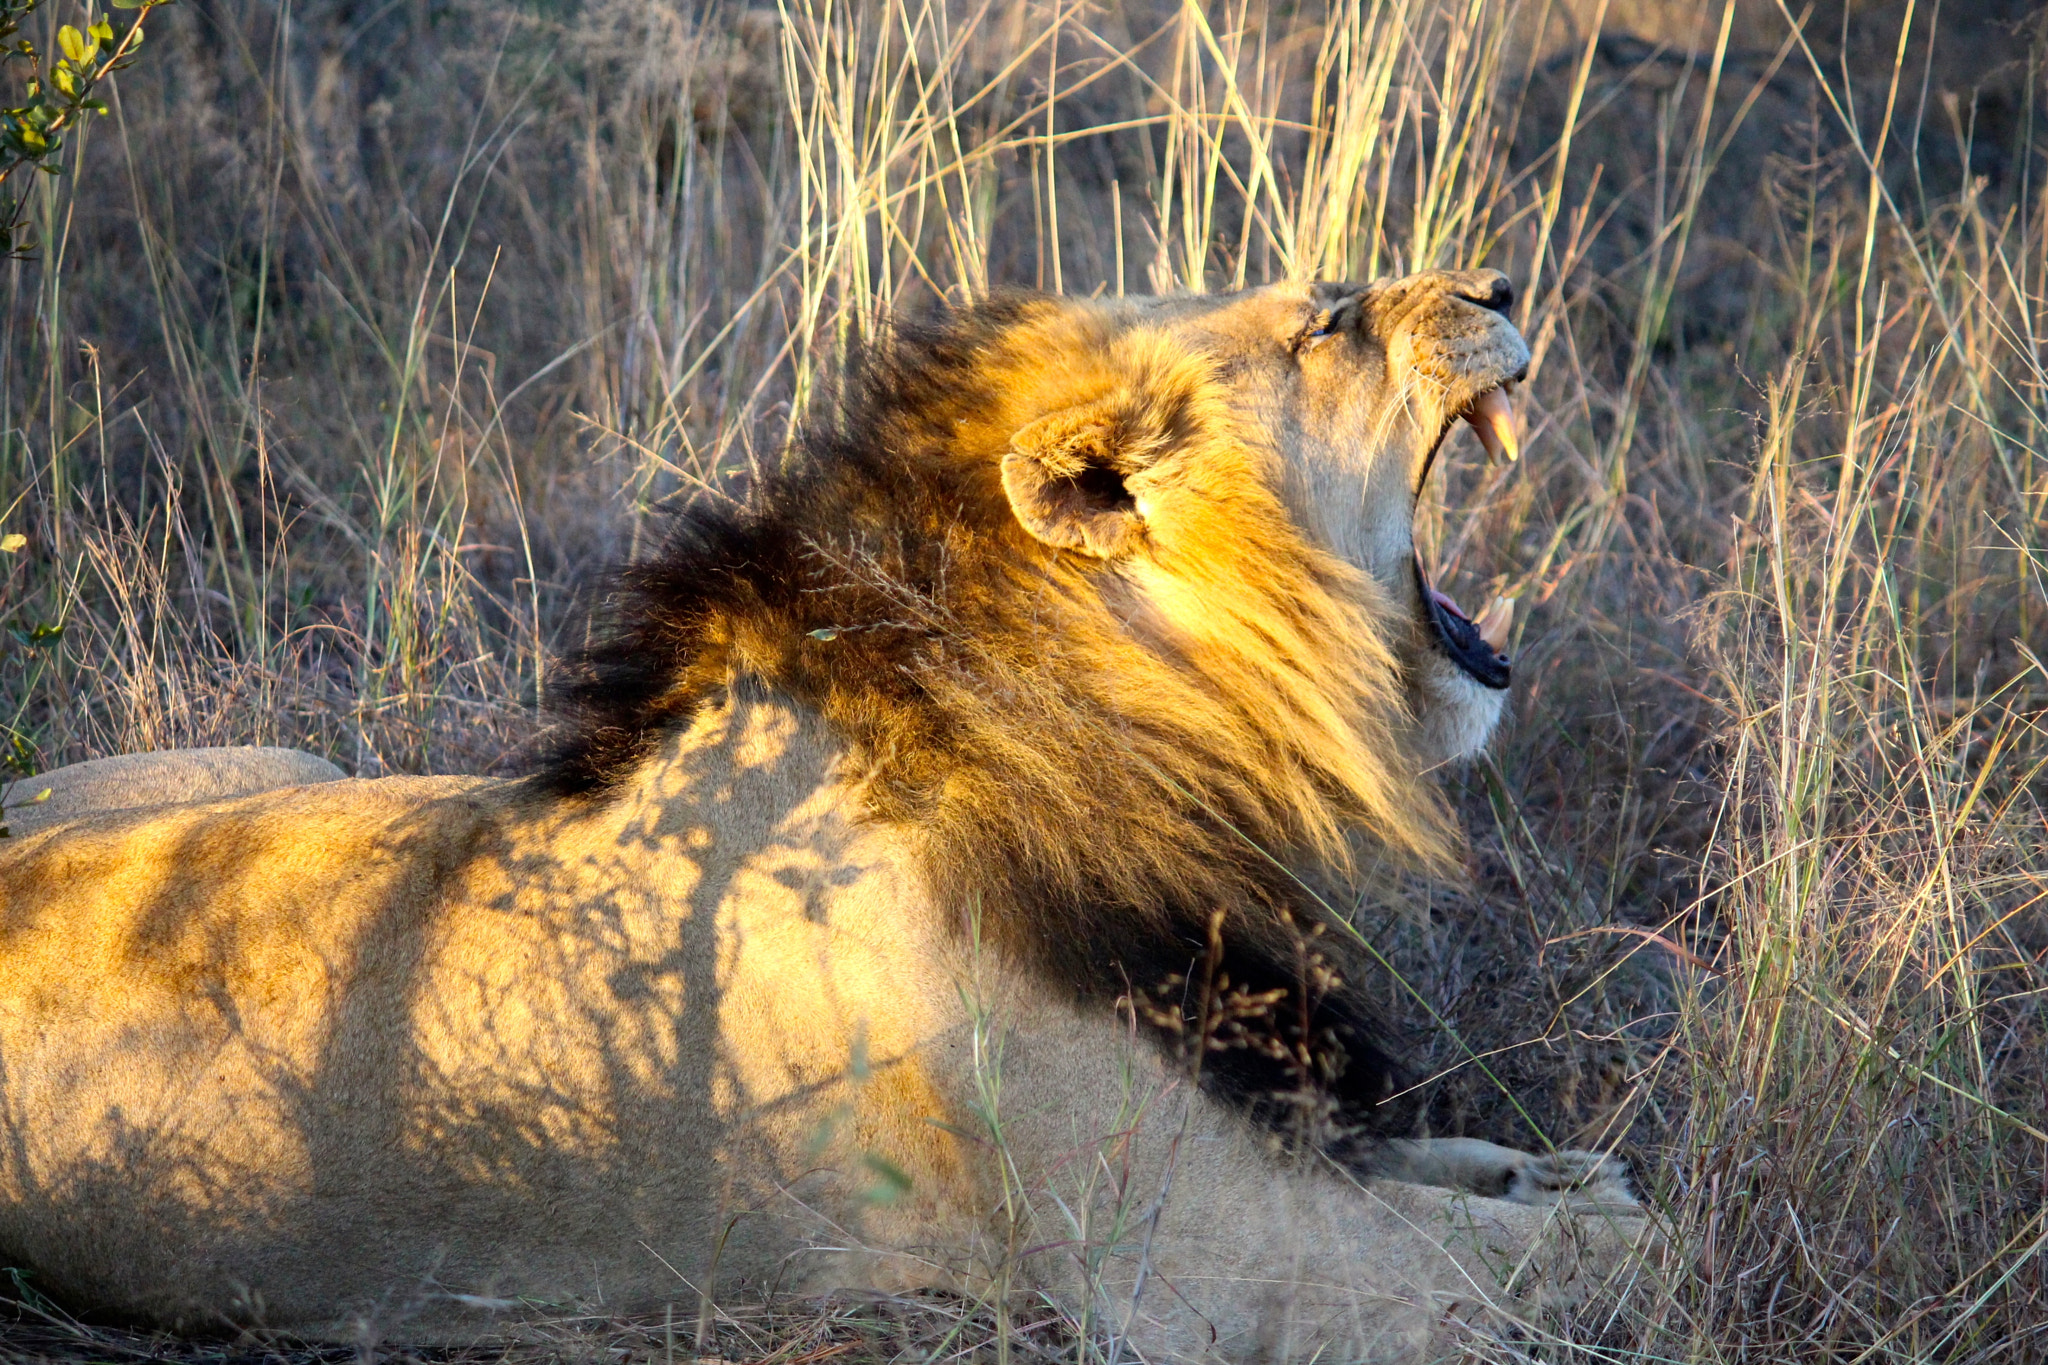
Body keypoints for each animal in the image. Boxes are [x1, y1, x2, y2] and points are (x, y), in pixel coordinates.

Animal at [0, 272, 1650, 1363]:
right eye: (1327, 324)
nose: (1500, 285)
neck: (1146, 738)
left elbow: (1463, 1171)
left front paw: (1556, 1168)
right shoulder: (1214, 1267)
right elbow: (1560, 1264)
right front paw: (1600, 1214)